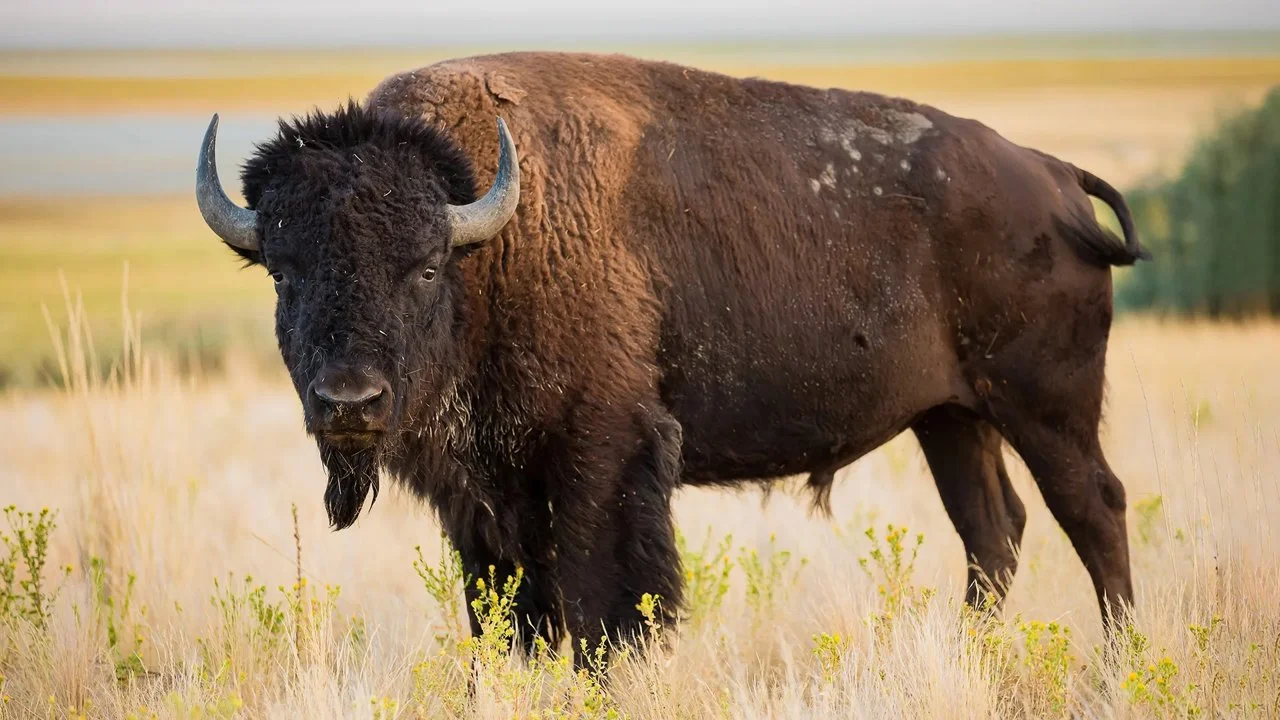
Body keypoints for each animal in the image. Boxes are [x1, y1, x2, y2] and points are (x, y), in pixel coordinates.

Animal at [195, 51, 1147, 661]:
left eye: (424, 266)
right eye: (283, 272)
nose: (349, 402)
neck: (490, 241)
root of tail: (1053, 177)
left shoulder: (602, 454)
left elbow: (604, 603)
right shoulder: (482, 493)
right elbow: (511, 613)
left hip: (1044, 406)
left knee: (1093, 510)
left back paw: (1119, 661)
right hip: (950, 419)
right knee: (994, 531)